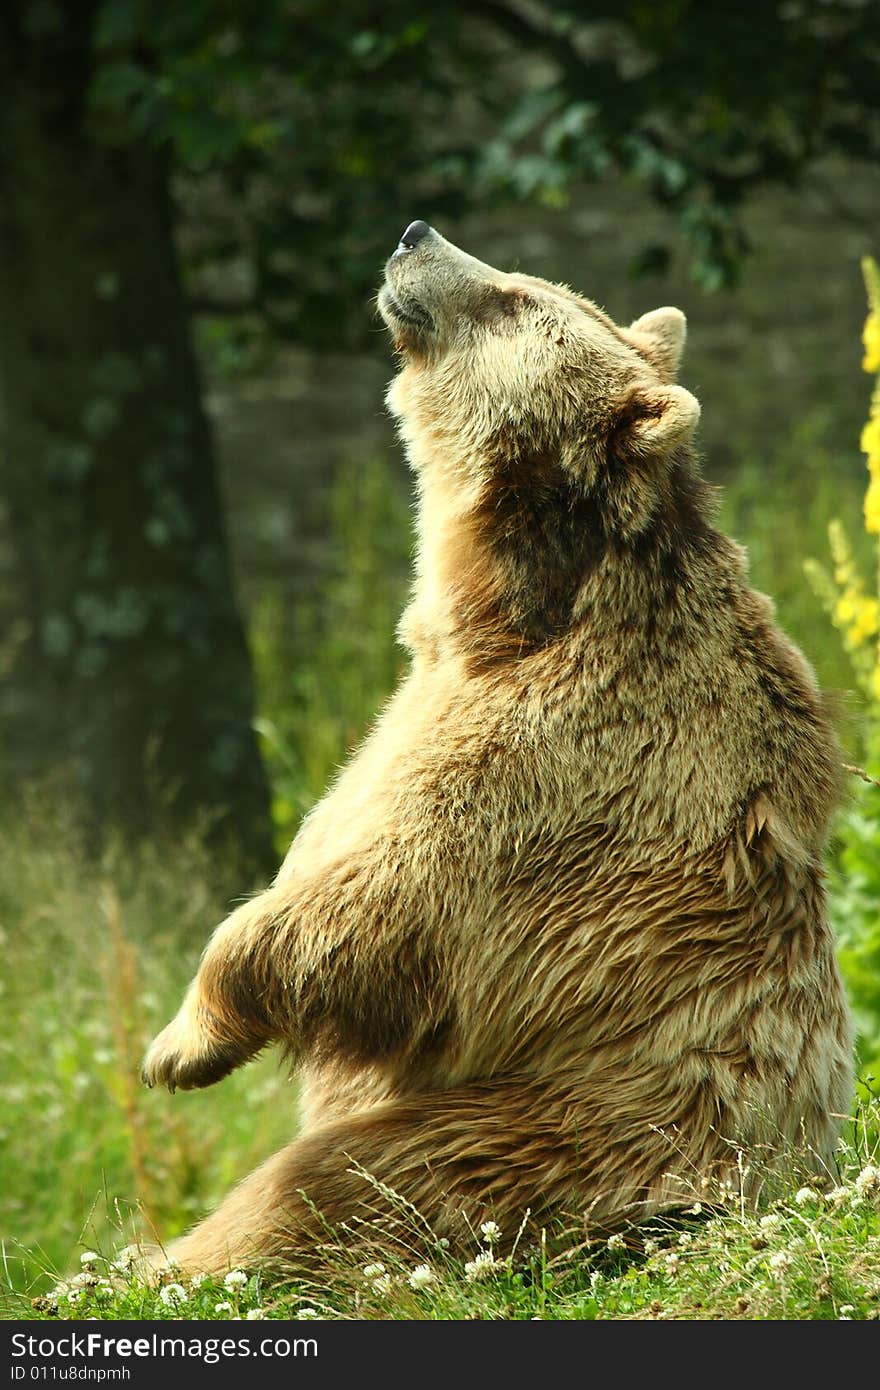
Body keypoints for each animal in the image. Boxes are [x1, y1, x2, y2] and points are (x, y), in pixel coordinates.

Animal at [142, 219, 850, 1278]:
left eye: (516, 295)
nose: (414, 233)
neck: (498, 617)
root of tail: (790, 1179)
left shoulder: (557, 768)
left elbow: (377, 904)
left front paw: (179, 1046)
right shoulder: (416, 714)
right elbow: (328, 834)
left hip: (561, 1132)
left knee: (322, 1185)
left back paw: (170, 1259)